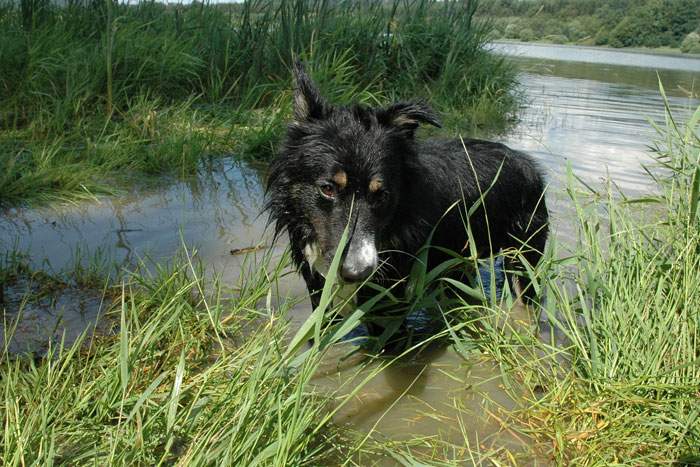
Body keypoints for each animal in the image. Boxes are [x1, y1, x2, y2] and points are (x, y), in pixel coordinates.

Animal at [266, 62, 548, 332]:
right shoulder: (319, 295)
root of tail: (528, 164)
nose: (358, 272)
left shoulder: (388, 306)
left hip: (523, 253)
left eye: (382, 194)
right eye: (327, 188)